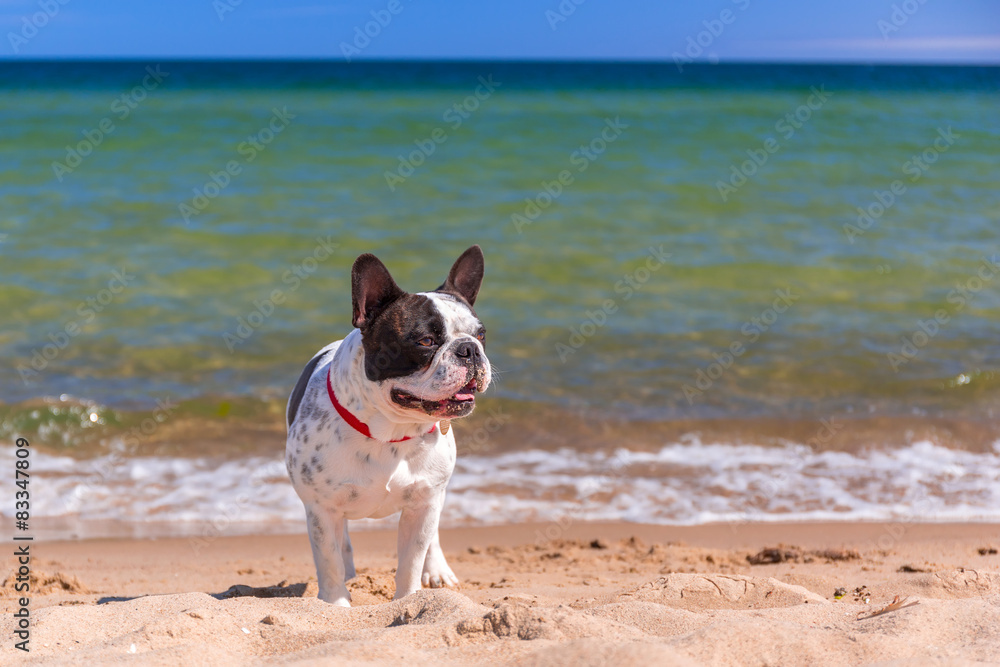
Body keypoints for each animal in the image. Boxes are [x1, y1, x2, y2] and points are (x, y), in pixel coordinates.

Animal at [286, 244, 492, 604]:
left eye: (481, 334)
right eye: (425, 341)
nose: (469, 349)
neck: (390, 432)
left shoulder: (423, 504)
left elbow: (411, 559)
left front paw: (409, 600)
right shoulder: (321, 509)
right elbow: (329, 561)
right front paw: (336, 604)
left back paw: (437, 570)